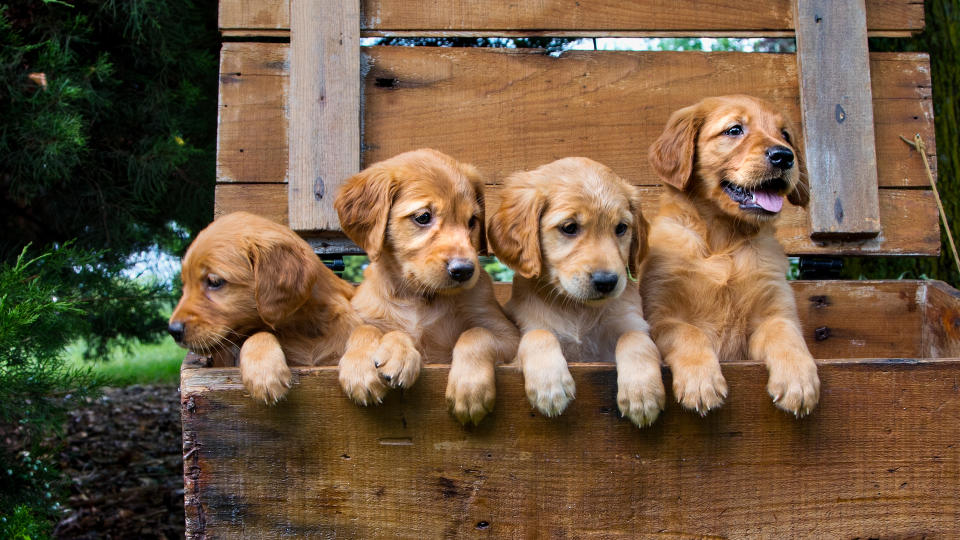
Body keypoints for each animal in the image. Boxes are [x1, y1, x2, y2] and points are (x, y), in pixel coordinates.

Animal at [336, 149, 520, 426]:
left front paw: (469, 388)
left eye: (472, 221)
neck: (417, 295)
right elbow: (363, 329)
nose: (464, 270)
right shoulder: (364, 313)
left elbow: (476, 333)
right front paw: (365, 365)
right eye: (423, 217)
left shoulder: (509, 335)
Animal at [488, 158, 668, 428]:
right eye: (569, 227)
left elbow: (634, 338)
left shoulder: (632, 324)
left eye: (621, 228)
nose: (607, 282)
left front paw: (642, 393)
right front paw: (550, 385)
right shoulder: (525, 333)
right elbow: (538, 334)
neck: (577, 309)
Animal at [640, 95, 820, 418]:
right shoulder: (662, 316)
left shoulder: (773, 311)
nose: (785, 156)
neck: (723, 242)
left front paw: (798, 381)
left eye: (786, 135)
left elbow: (786, 333)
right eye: (734, 130)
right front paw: (701, 383)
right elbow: (688, 332)